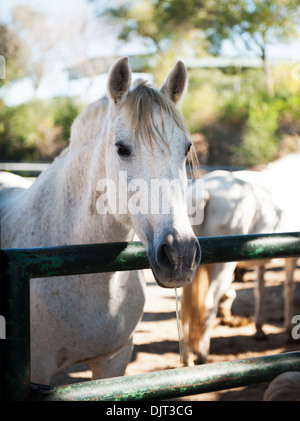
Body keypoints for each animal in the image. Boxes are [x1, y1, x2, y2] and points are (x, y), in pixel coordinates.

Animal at [180, 166, 298, 366]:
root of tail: (203, 193)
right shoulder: (291, 256)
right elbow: (289, 291)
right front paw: (289, 331)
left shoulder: (262, 257)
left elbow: (260, 290)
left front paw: (259, 329)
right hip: (224, 267)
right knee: (208, 304)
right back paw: (202, 354)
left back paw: (188, 357)